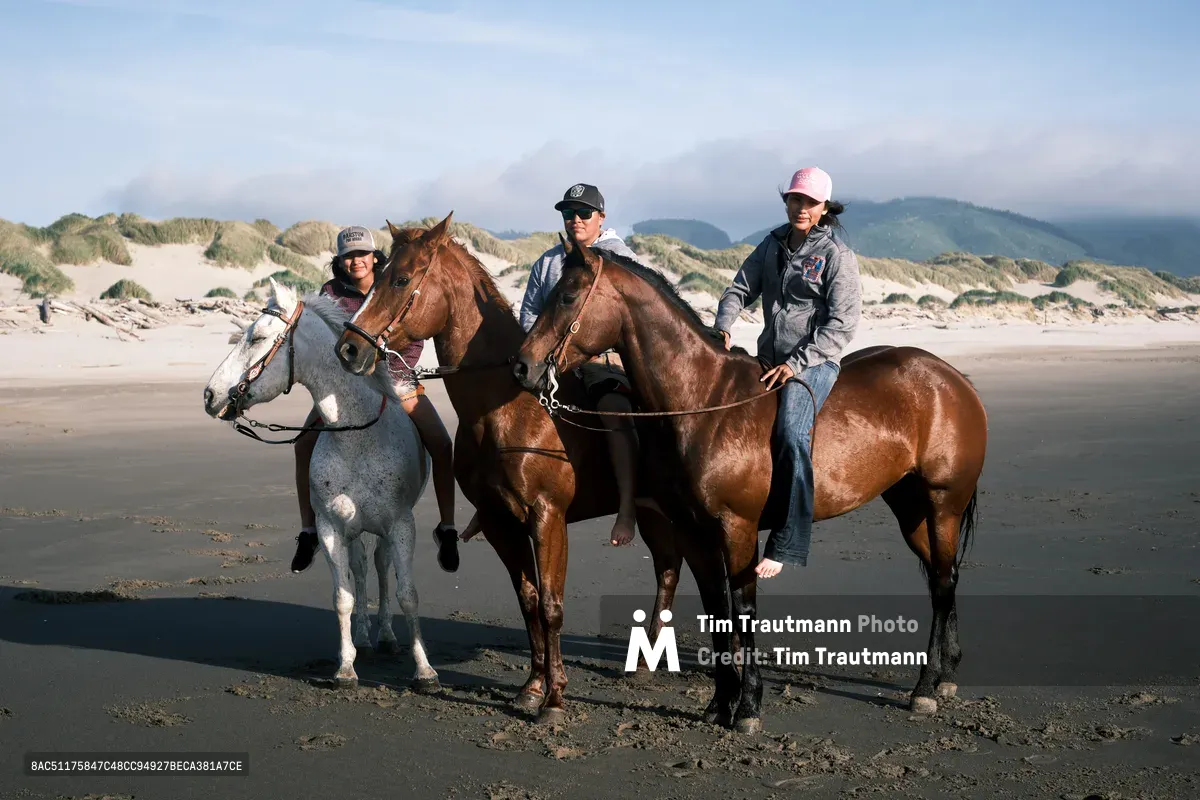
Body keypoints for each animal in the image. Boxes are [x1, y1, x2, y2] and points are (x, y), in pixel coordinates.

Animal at [203, 278, 440, 692]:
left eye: (257, 337)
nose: (210, 395)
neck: (357, 436)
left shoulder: (400, 526)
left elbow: (408, 593)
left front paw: (424, 670)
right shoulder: (331, 528)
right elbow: (342, 596)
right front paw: (346, 667)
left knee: (380, 566)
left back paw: (386, 636)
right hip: (353, 530)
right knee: (361, 569)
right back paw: (365, 637)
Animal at [332, 215, 690, 723]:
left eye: (399, 280)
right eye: (376, 275)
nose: (348, 349)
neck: (508, 407)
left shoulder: (547, 519)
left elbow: (552, 607)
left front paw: (555, 702)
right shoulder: (502, 522)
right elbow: (529, 602)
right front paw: (533, 688)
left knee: (674, 569)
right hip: (651, 511)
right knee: (668, 569)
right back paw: (646, 660)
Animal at [512, 238, 988, 733]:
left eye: (567, 296)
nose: (522, 366)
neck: (703, 401)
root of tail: (951, 378)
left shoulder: (736, 528)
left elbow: (742, 610)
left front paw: (748, 707)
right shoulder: (694, 532)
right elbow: (716, 610)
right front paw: (721, 701)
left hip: (943, 504)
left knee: (942, 582)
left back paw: (925, 688)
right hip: (911, 508)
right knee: (944, 574)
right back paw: (946, 675)